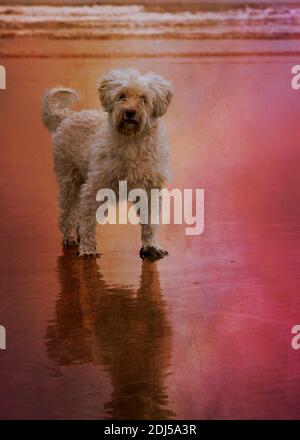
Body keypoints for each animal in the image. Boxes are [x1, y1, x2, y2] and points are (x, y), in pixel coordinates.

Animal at [42, 66, 173, 256]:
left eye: (143, 98)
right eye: (122, 96)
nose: (130, 112)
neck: (132, 140)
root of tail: (67, 116)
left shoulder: (150, 189)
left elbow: (149, 220)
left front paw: (150, 246)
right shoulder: (94, 187)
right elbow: (88, 218)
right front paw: (87, 248)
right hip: (69, 181)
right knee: (68, 211)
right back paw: (69, 237)